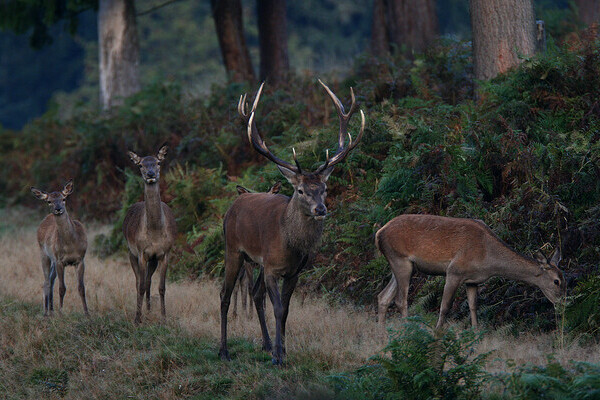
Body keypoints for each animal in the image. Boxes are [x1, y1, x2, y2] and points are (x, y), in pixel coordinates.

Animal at [31, 180, 88, 316]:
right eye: (49, 201)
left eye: (64, 199)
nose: (58, 209)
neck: (71, 244)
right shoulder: (59, 261)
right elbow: (62, 288)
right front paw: (61, 313)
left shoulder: (81, 259)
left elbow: (81, 288)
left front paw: (87, 313)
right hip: (44, 254)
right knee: (46, 281)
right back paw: (46, 312)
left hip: (53, 260)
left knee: (51, 280)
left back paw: (51, 310)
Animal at [123, 145, 177, 324]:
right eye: (140, 165)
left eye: (158, 162)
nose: (151, 174)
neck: (154, 233)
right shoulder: (141, 253)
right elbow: (140, 286)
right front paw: (137, 319)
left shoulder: (164, 253)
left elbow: (161, 287)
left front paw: (164, 317)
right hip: (131, 253)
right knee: (139, 282)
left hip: (152, 260)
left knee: (148, 281)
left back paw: (148, 309)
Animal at [218, 79, 364, 364]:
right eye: (300, 190)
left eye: (325, 188)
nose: (320, 209)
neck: (290, 245)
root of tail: (234, 205)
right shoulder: (273, 268)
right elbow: (277, 308)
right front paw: (278, 357)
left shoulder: (294, 272)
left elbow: (285, 310)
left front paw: (281, 350)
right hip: (233, 249)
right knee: (224, 295)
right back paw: (224, 350)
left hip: (257, 261)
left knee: (255, 294)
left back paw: (265, 344)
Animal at [378, 214, 564, 330]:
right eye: (557, 281)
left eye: (564, 279)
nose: (562, 304)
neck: (487, 258)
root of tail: (379, 233)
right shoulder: (454, 271)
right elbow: (445, 306)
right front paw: (437, 332)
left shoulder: (473, 280)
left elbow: (473, 306)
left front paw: (476, 333)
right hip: (400, 260)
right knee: (400, 300)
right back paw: (406, 330)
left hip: (404, 266)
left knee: (383, 296)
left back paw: (382, 336)